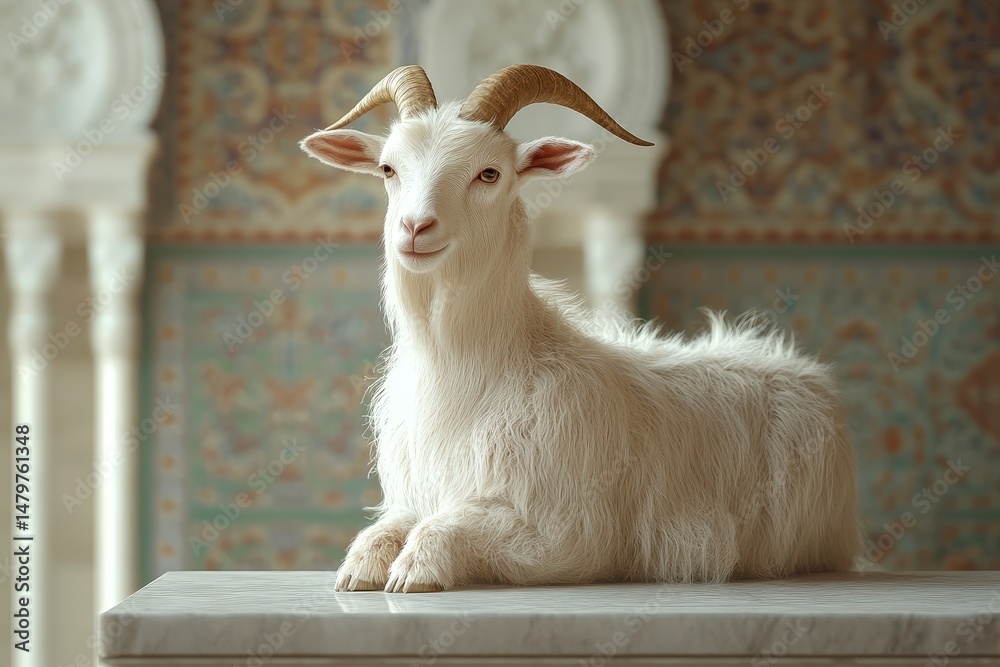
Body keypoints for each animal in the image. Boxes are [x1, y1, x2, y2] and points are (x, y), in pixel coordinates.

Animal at [301, 65, 859, 593]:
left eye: (489, 173)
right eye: (388, 168)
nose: (415, 228)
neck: (472, 372)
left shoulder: (564, 534)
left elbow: (449, 525)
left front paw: (415, 569)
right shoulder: (417, 493)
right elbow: (385, 528)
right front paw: (360, 569)